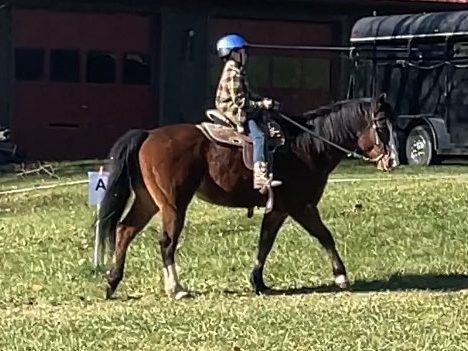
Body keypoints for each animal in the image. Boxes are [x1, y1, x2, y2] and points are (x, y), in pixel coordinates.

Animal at [98, 95, 398, 302]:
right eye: (382, 125)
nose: (393, 160)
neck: (308, 145)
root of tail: (149, 135)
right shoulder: (301, 206)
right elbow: (324, 236)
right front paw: (341, 276)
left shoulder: (279, 208)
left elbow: (265, 242)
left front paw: (258, 282)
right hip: (173, 205)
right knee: (166, 243)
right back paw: (176, 288)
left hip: (149, 201)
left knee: (124, 230)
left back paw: (112, 282)